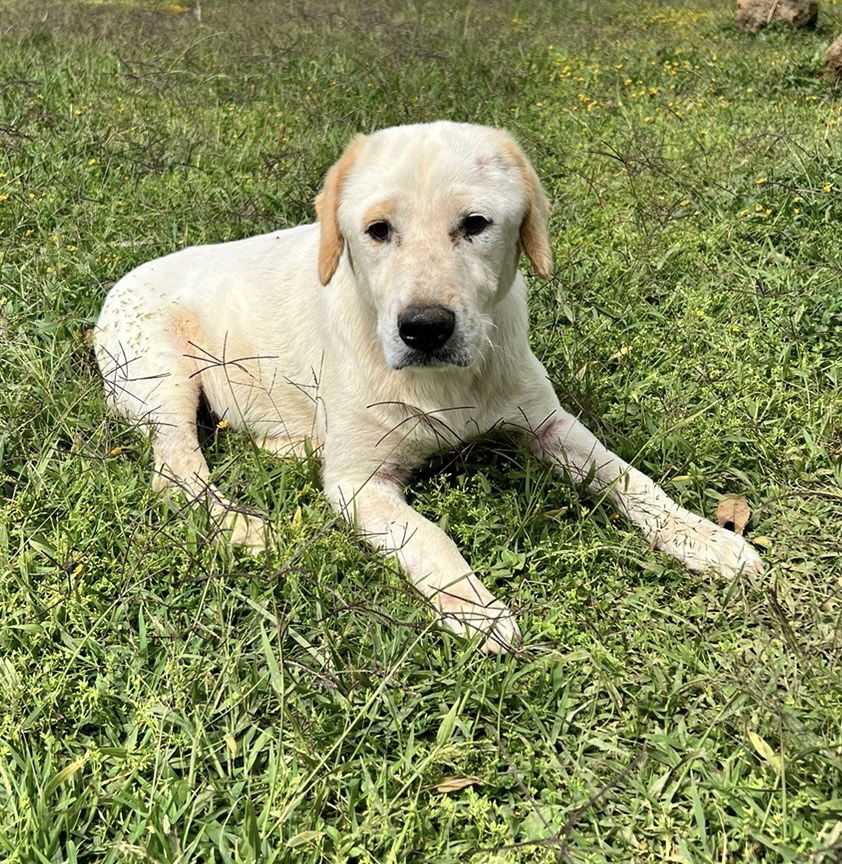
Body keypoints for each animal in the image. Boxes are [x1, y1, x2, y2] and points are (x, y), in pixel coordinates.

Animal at [93, 120, 760, 648]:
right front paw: (476, 609)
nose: (424, 329)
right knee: (175, 469)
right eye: (377, 230)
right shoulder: (359, 483)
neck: (444, 384)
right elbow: (430, 536)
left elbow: (633, 479)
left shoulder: (548, 424)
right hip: (163, 377)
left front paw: (706, 538)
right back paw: (244, 527)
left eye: (475, 224)